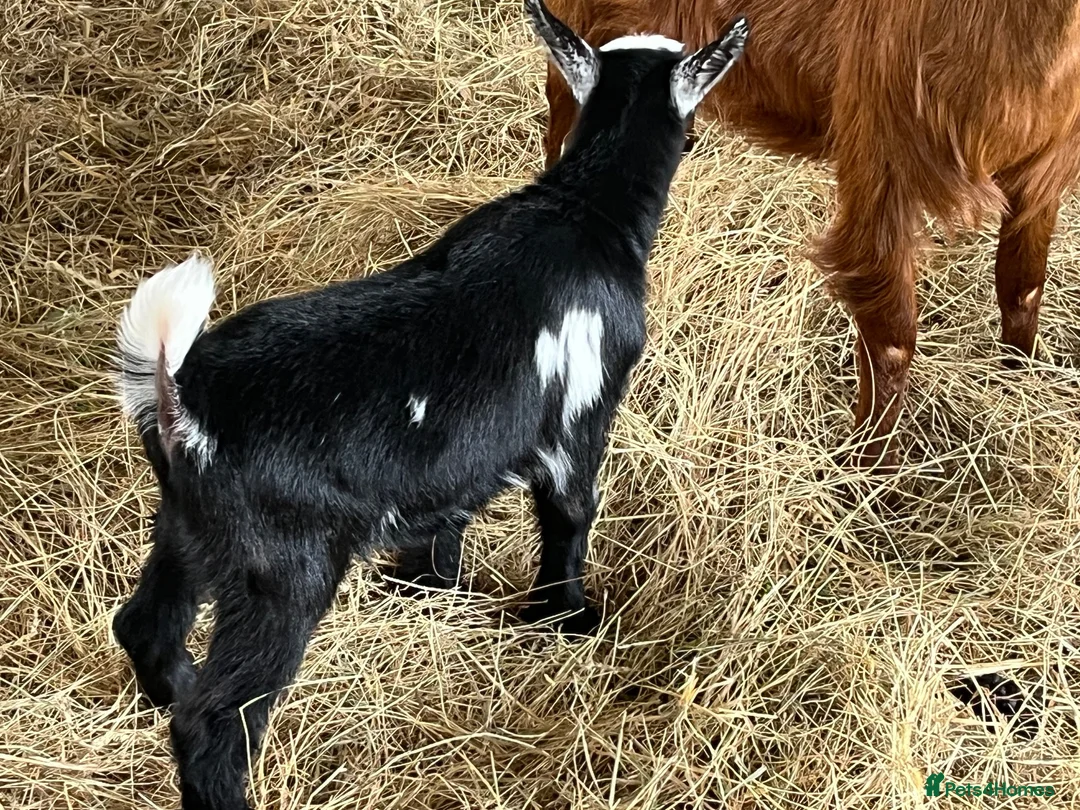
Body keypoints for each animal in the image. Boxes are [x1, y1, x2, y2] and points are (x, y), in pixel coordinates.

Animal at [110, 3, 748, 808]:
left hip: (192, 528)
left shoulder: (453, 460)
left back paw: (168, 685)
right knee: (216, 719)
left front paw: (429, 590)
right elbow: (569, 517)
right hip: (283, 570)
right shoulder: (580, 418)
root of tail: (179, 401)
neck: (582, 210)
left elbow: (447, 519)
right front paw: (569, 619)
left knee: (144, 625)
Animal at [542, 0, 1080, 469]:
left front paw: (1019, 373)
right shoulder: (881, 161)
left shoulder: (1043, 165)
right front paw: (868, 480)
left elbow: (1023, 286)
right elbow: (891, 342)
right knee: (560, 129)